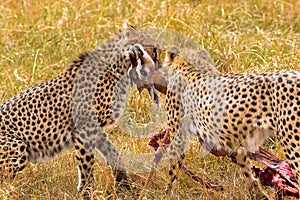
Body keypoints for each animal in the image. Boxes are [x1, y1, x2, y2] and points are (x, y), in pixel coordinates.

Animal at [0, 25, 166, 199]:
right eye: (155, 51)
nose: (161, 65)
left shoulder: (95, 129)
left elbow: (112, 153)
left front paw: (124, 184)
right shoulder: (84, 130)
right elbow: (86, 165)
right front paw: (87, 192)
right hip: (17, 144)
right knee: (4, 183)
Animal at [146, 46, 300, 198]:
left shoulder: (179, 137)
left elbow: (173, 171)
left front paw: (168, 193)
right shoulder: (234, 143)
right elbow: (247, 171)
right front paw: (259, 195)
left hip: (293, 146)